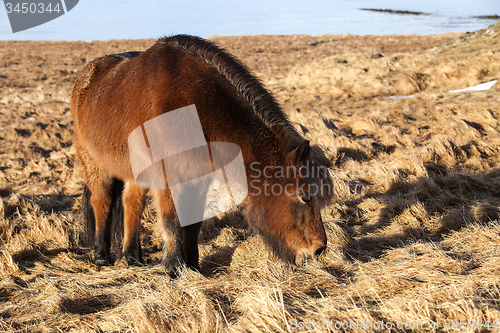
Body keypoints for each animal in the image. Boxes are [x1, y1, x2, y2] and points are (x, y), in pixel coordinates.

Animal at [70, 33, 328, 274]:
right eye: (305, 196)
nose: (319, 248)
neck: (194, 104)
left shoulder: (199, 177)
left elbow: (193, 223)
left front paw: (193, 266)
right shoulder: (167, 176)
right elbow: (171, 221)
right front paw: (174, 268)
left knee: (131, 203)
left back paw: (133, 257)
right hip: (93, 164)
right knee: (101, 202)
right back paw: (101, 255)